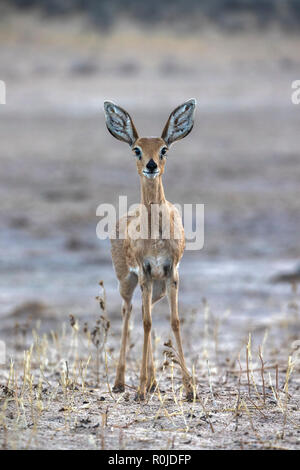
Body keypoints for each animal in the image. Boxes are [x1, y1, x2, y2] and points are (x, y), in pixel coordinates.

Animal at [103, 99, 197, 400]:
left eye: (164, 148)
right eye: (137, 149)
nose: (151, 165)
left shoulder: (171, 273)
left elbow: (174, 322)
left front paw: (190, 388)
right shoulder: (144, 272)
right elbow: (144, 324)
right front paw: (141, 389)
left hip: (157, 288)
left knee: (148, 314)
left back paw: (154, 382)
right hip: (128, 281)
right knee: (129, 312)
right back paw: (121, 383)